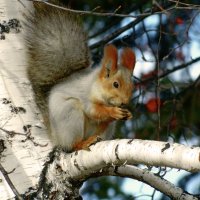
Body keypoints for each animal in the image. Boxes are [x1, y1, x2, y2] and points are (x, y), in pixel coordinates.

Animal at [23, 1, 136, 152]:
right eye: (115, 84)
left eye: (132, 86)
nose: (124, 102)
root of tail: (56, 138)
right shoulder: (86, 95)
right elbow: (93, 111)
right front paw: (112, 111)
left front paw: (127, 114)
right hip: (70, 113)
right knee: (73, 144)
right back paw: (83, 143)